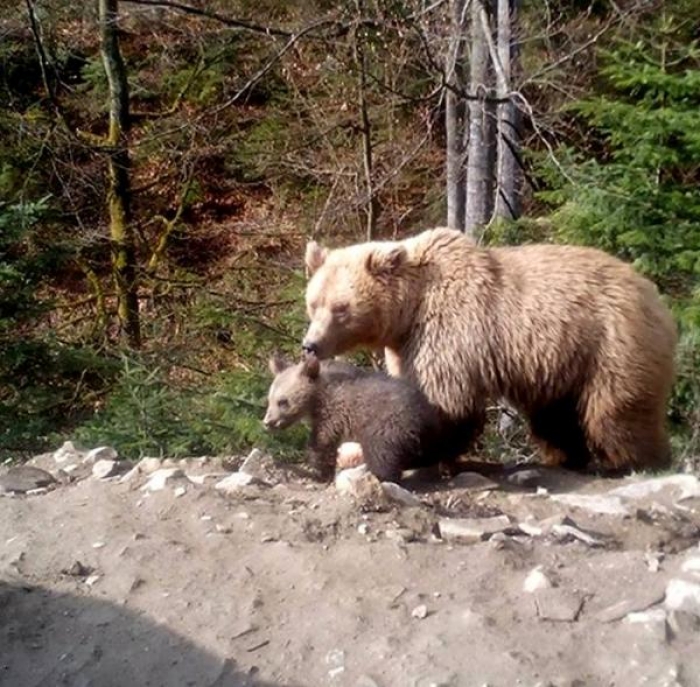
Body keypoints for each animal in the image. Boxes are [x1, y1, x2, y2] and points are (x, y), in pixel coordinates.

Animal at [302, 226, 680, 472]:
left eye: (341, 308)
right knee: (556, 416)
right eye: (313, 303)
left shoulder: (447, 331)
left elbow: (445, 399)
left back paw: (635, 461)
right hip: (564, 362)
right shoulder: (407, 344)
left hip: (612, 342)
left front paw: (421, 453)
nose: (311, 345)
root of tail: (654, 296)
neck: (409, 309)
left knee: (616, 411)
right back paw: (568, 457)